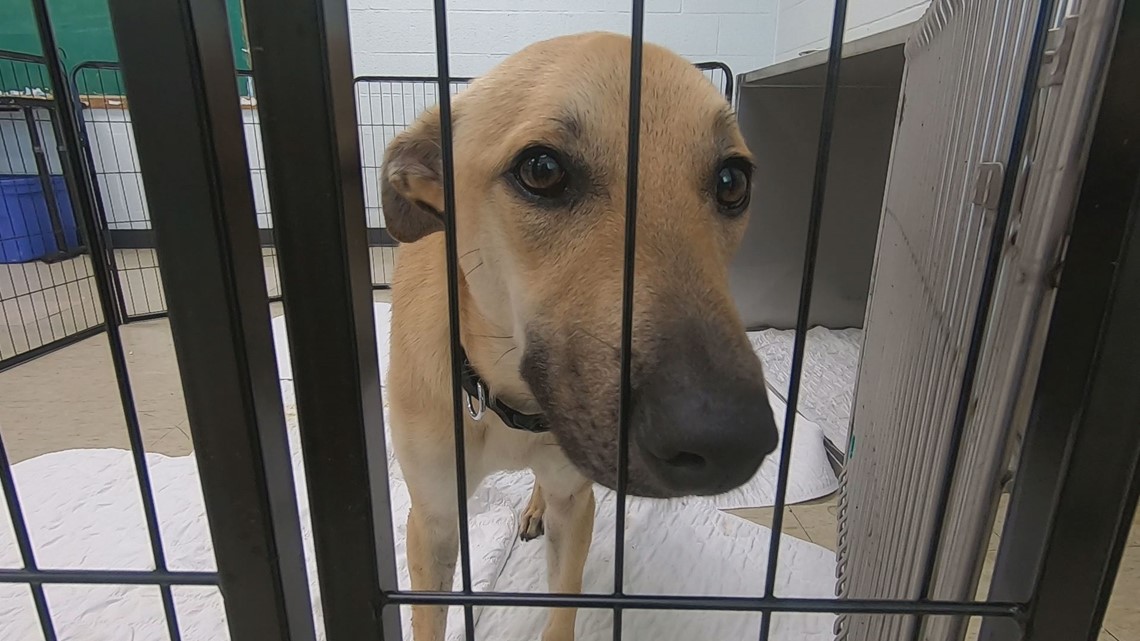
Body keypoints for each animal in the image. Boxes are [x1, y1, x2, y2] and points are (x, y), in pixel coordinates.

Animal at [378, 32, 779, 638]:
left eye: (732, 180)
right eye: (542, 169)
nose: (728, 441)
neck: (508, 398)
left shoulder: (576, 499)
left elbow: (562, 603)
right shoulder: (433, 521)